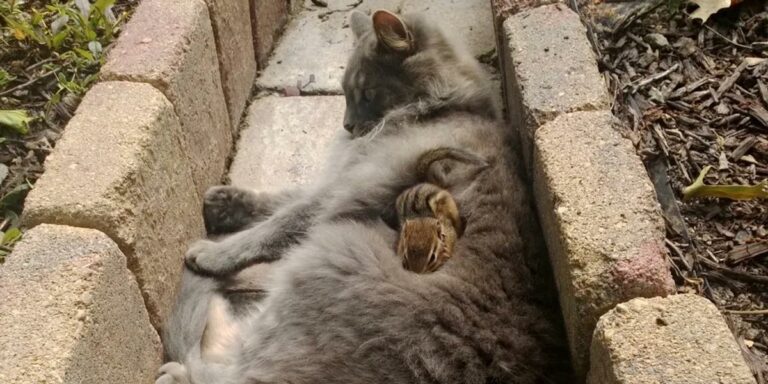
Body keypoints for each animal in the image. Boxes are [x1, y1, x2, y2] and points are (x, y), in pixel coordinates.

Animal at [156, 9, 572, 384]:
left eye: (366, 92)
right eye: (343, 94)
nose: (347, 126)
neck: (444, 106)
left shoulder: (352, 187)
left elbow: (278, 223)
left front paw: (214, 253)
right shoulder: (339, 178)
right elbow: (283, 199)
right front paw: (225, 204)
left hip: (327, 258)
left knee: (230, 368)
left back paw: (178, 366)